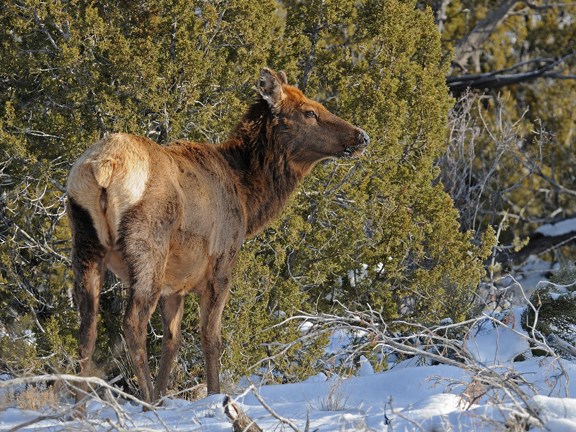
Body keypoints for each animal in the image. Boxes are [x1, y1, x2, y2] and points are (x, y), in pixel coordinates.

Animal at [66, 67, 368, 404]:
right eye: (309, 112)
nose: (361, 136)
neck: (248, 200)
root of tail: (103, 168)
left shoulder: (177, 283)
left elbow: (172, 340)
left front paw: (165, 395)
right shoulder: (221, 264)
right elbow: (211, 337)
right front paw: (213, 394)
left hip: (85, 241)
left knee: (86, 327)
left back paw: (79, 406)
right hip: (148, 247)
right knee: (132, 323)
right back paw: (145, 402)